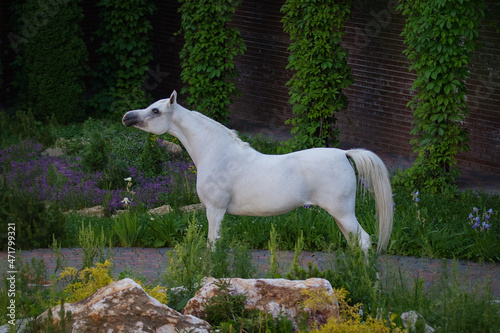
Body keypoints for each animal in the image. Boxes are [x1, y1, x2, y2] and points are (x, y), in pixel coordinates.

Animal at [122, 91, 394, 252]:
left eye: (156, 111)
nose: (127, 117)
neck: (218, 154)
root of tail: (344, 153)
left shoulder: (215, 210)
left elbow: (212, 245)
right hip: (339, 215)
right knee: (354, 243)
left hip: (343, 213)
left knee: (364, 241)